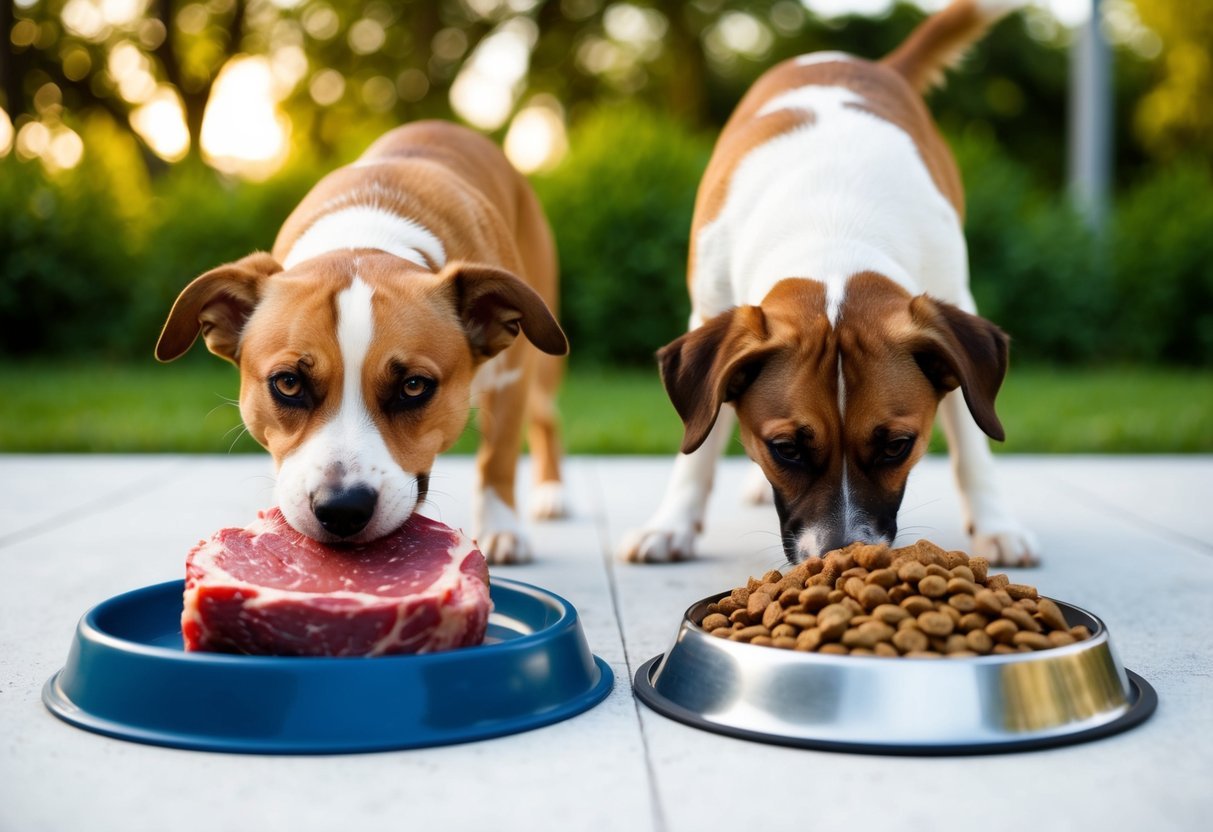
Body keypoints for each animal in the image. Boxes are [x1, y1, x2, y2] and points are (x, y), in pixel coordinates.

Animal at [160, 122, 567, 567]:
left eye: (413, 386)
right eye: (287, 383)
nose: (341, 509)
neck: (366, 242)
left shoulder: (513, 375)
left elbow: (499, 456)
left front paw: (501, 529)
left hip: (540, 360)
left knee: (545, 418)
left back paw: (552, 493)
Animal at [621, 0, 1038, 567]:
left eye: (896, 445)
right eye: (786, 449)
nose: (842, 554)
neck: (834, 231)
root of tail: (864, 63)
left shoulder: (954, 299)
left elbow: (972, 433)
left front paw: (995, 524)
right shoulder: (708, 308)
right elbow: (699, 439)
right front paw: (673, 523)